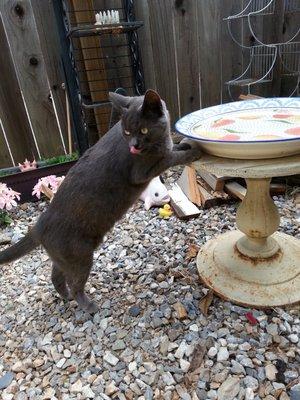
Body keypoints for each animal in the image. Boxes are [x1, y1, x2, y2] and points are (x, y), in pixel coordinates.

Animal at [0, 90, 202, 312]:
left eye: (143, 129)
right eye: (127, 132)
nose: (134, 146)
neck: (160, 140)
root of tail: (39, 225)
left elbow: (173, 148)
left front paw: (184, 143)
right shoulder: (142, 171)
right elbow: (170, 157)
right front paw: (192, 152)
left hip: (65, 257)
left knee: (56, 276)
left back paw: (66, 297)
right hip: (80, 257)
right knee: (75, 284)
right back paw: (89, 306)